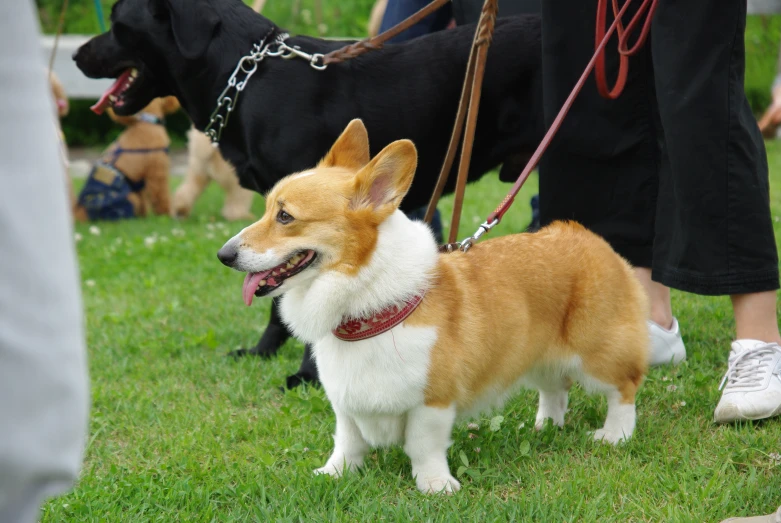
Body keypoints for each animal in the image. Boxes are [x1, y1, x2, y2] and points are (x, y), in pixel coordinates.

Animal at [74, 0, 544, 388]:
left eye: (117, 22)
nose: (77, 55)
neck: (249, 78)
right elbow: (277, 298)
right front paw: (263, 351)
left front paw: (306, 373)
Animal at [216, 119, 648, 496]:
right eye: (267, 209)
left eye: (285, 216)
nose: (223, 255)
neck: (365, 304)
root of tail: (589, 238)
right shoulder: (346, 403)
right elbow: (347, 442)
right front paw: (334, 474)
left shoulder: (432, 402)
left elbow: (423, 447)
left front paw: (436, 487)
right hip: (538, 353)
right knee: (555, 387)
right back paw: (545, 427)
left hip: (598, 353)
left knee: (624, 389)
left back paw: (614, 435)